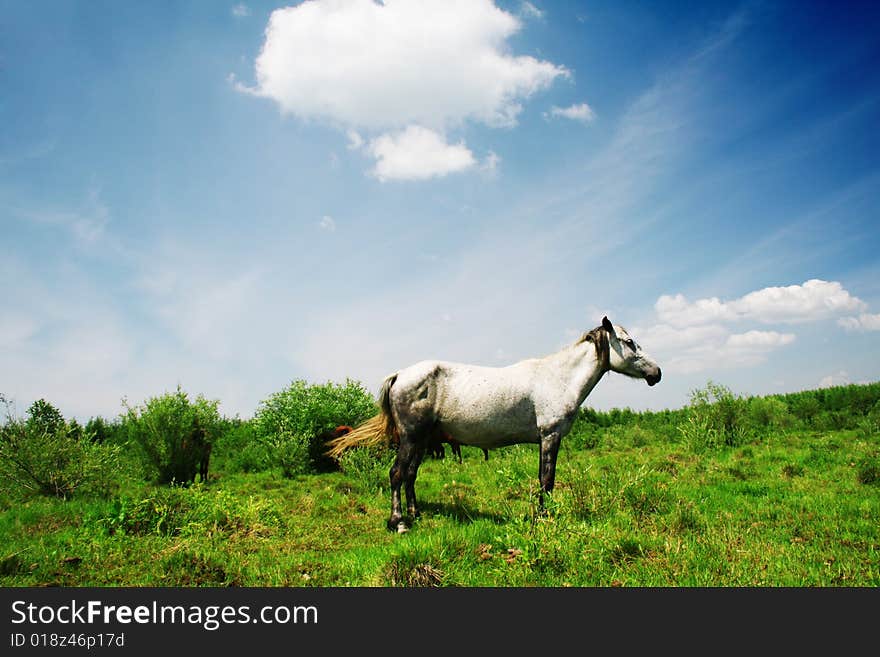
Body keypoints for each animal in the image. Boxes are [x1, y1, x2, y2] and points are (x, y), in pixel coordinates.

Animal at [326, 316, 656, 532]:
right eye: (629, 342)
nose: (657, 373)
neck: (557, 378)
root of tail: (400, 374)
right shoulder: (550, 436)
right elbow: (546, 480)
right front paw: (544, 518)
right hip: (410, 437)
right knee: (396, 474)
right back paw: (398, 523)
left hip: (421, 441)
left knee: (409, 475)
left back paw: (415, 514)